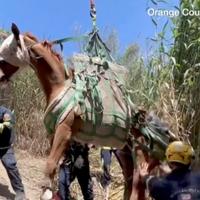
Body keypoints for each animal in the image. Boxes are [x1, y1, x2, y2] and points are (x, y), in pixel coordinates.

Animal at [0, 23, 175, 200]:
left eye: (5, 53)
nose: (0, 78)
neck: (59, 87)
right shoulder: (53, 134)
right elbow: (54, 167)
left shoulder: (64, 131)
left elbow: (50, 165)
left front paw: (47, 192)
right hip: (124, 151)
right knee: (131, 179)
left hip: (141, 153)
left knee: (140, 179)